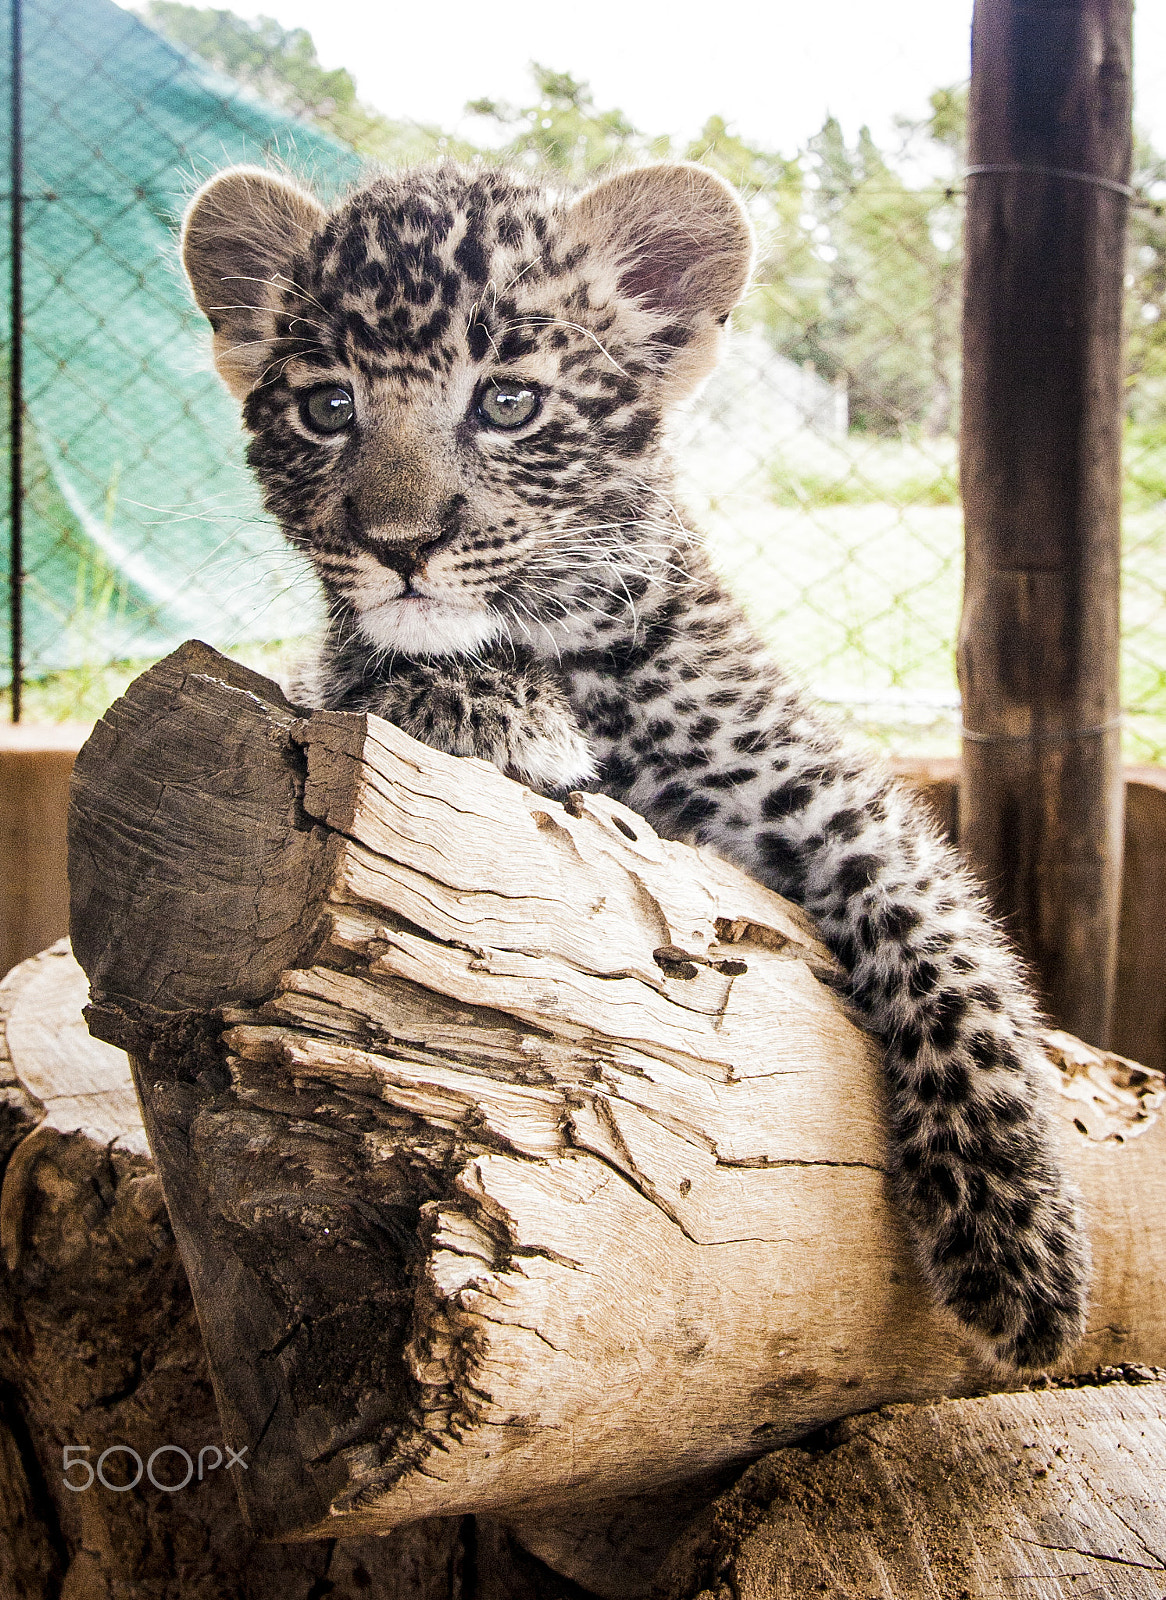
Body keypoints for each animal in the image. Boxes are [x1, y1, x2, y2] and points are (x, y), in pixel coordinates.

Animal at [180, 157, 1088, 1372]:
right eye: (328, 409)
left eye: (507, 403)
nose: (398, 544)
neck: (568, 646)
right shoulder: (336, 681)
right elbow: (381, 671)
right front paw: (488, 710)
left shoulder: (823, 790)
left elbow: (952, 952)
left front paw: (1018, 1236)